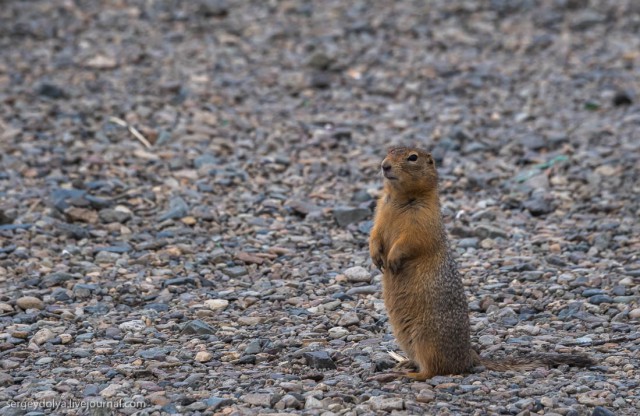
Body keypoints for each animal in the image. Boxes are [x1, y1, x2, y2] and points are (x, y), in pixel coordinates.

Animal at [372, 146, 592, 380]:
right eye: (388, 151)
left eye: (412, 157)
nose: (384, 165)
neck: (399, 198)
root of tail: (470, 355)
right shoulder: (380, 211)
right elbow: (374, 234)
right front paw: (375, 256)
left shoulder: (423, 221)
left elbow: (411, 241)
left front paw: (392, 258)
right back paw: (403, 364)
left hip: (426, 338)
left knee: (436, 370)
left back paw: (407, 375)